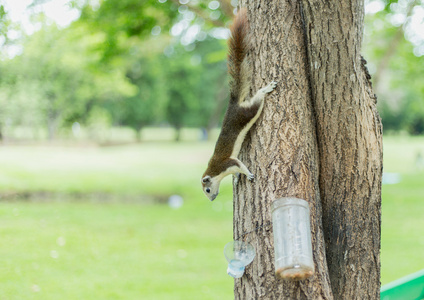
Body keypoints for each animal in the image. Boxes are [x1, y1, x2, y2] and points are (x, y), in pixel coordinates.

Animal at [202, 8, 278, 202]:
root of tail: (233, 105)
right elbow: (236, 170)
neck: (215, 171)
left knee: (257, 101)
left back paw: (266, 89)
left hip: (247, 112)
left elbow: (239, 164)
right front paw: (237, 178)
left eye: (207, 190)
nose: (212, 200)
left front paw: (248, 174)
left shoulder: (226, 163)